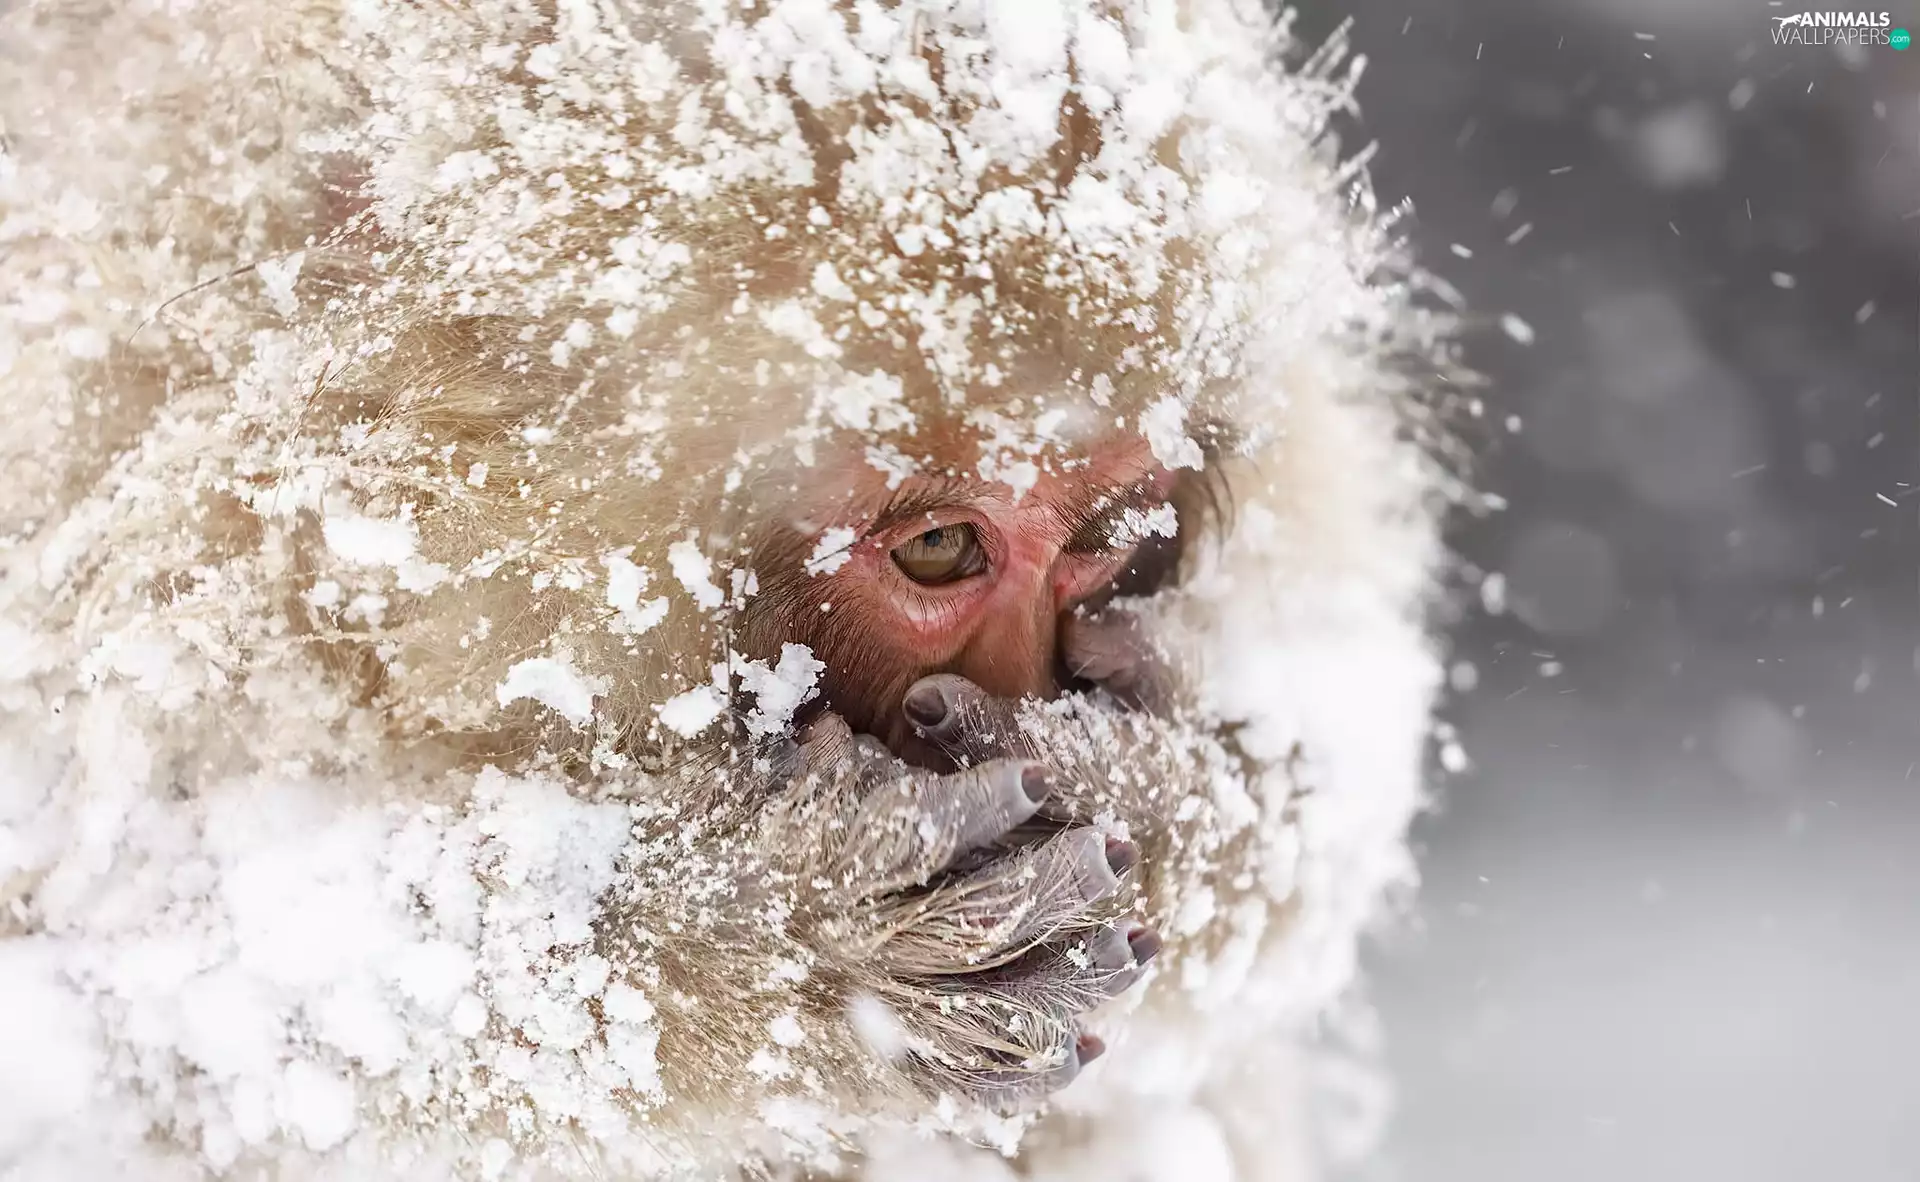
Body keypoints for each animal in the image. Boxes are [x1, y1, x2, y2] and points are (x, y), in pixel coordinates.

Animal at [0, 0, 1459, 1178]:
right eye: (941, 550)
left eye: (1104, 540)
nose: (1014, 685)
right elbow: (182, 1045)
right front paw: (800, 934)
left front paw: (1156, 793)